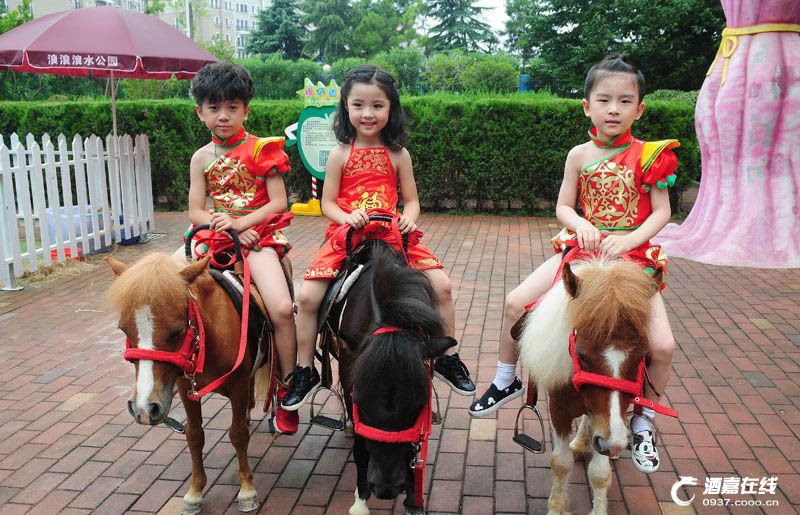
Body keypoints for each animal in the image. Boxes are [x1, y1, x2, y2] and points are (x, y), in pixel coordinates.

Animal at [106, 255, 270, 515]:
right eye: (123, 329)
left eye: (177, 331)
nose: (143, 408)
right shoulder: (185, 389)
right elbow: (194, 436)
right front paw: (195, 491)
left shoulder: (238, 386)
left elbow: (238, 435)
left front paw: (246, 489)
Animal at [330, 236, 456, 512]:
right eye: (361, 403)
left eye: (418, 404)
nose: (386, 489)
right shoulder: (350, 387)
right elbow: (360, 447)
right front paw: (360, 501)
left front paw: (412, 499)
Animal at [520, 256, 664, 515]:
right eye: (581, 354)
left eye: (643, 356)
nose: (616, 444)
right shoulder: (559, 411)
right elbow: (560, 463)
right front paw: (556, 507)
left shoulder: (608, 421)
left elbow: (599, 474)